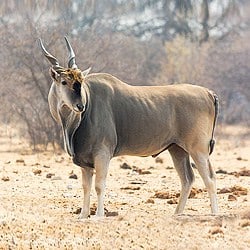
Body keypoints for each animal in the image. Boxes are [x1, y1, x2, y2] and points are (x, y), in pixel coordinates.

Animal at [39, 37, 219, 219]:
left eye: (80, 82)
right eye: (64, 81)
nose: (80, 106)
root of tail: (209, 93)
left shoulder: (102, 154)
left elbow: (99, 185)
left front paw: (98, 215)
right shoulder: (85, 163)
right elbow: (86, 187)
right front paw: (83, 215)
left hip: (198, 149)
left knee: (210, 178)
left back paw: (214, 214)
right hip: (177, 149)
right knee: (187, 179)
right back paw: (177, 214)